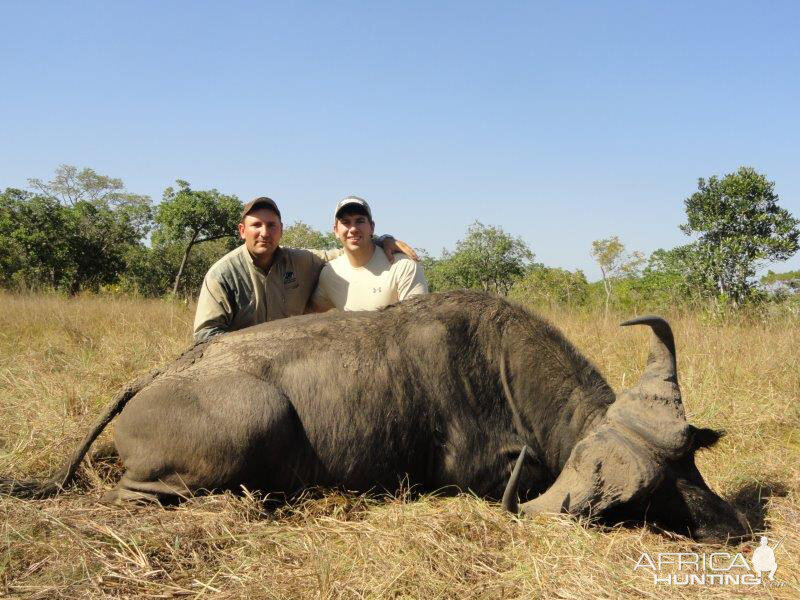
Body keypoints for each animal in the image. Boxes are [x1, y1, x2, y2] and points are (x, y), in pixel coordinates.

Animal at [1, 288, 752, 540]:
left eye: (689, 461)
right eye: (646, 498)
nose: (734, 530)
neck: (501, 369)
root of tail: (148, 380)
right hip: (248, 421)